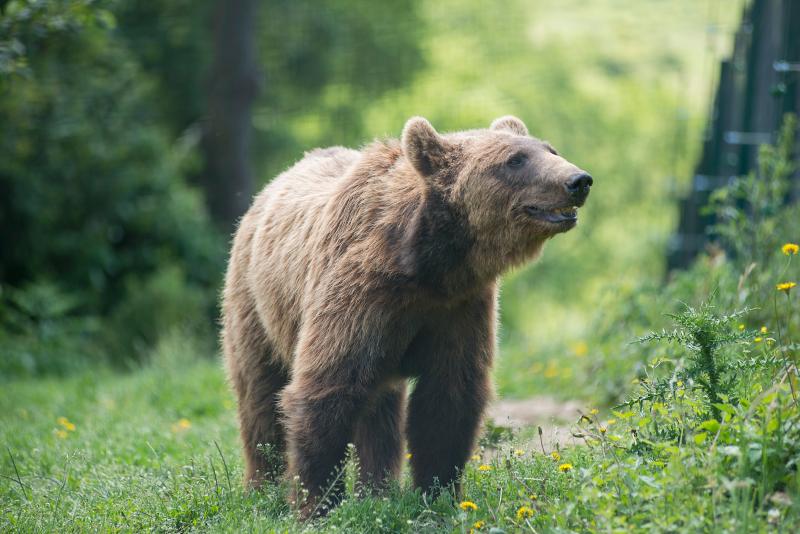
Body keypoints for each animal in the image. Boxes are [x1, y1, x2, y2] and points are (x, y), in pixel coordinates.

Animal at [222, 115, 592, 516]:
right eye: (515, 159)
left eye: (550, 149)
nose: (578, 181)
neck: (428, 265)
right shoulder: (359, 294)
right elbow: (327, 386)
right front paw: (317, 505)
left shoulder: (459, 307)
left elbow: (448, 400)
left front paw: (438, 495)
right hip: (255, 300)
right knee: (259, 394)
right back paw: (262, 488)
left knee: (380, 410)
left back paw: (377, 490)